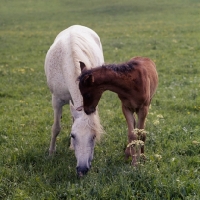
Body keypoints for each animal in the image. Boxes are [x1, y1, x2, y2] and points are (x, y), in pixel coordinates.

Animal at [44, 25, 104, 177]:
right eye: (73, 135)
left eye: (93, 137)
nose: (82, 170)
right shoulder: (56, 100)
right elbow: (56, 128)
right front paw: (51, 153)